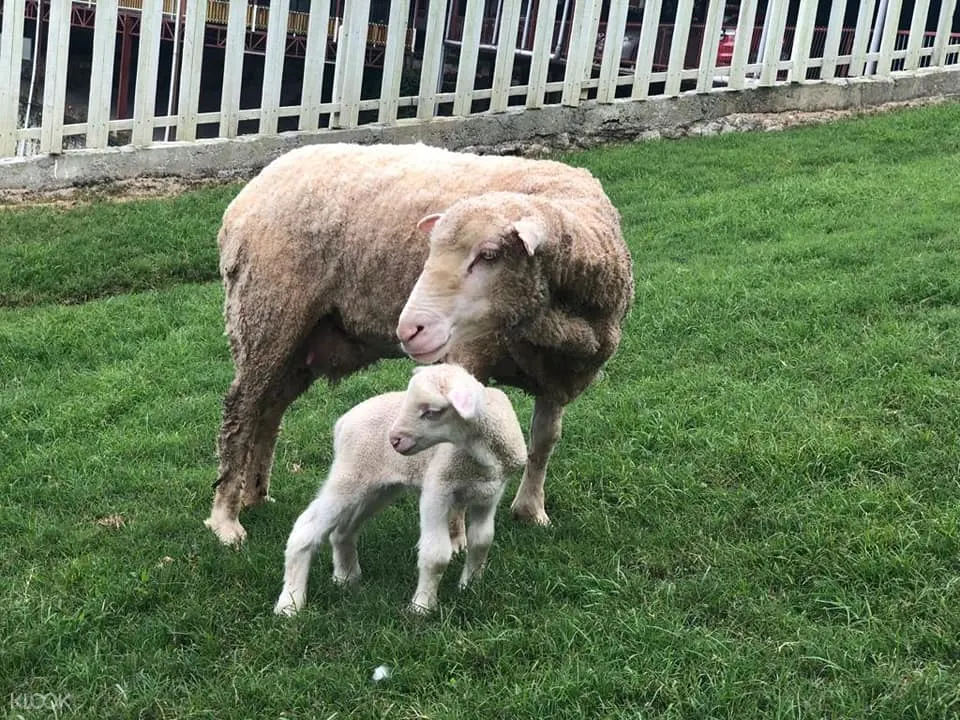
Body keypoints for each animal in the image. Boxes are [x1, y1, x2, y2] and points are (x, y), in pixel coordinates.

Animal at [205, 142, 634, 546]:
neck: (555, 318)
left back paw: (255, 495)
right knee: (240, 411)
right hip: (266, 313)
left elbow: (543, 441)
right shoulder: (468, 355)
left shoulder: (558, 371)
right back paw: (226, 518)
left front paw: (531, 510)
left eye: (489, 255)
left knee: (269, 409)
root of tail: (250, 192)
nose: (408, 328)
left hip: (302, 339)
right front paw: (456, 537)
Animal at [273, 363, 527, 616]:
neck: (481, 457)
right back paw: (290, 604)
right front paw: (421, 607)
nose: (394, 440)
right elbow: (436, 554)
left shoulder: (490, 493)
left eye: (431, 411)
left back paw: (346, 577)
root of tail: (342, 423)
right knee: (306, 527)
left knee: (344, 530)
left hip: (378, 488)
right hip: (349, 475)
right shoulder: (438, 489)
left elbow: (482, 540)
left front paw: (471, 586)